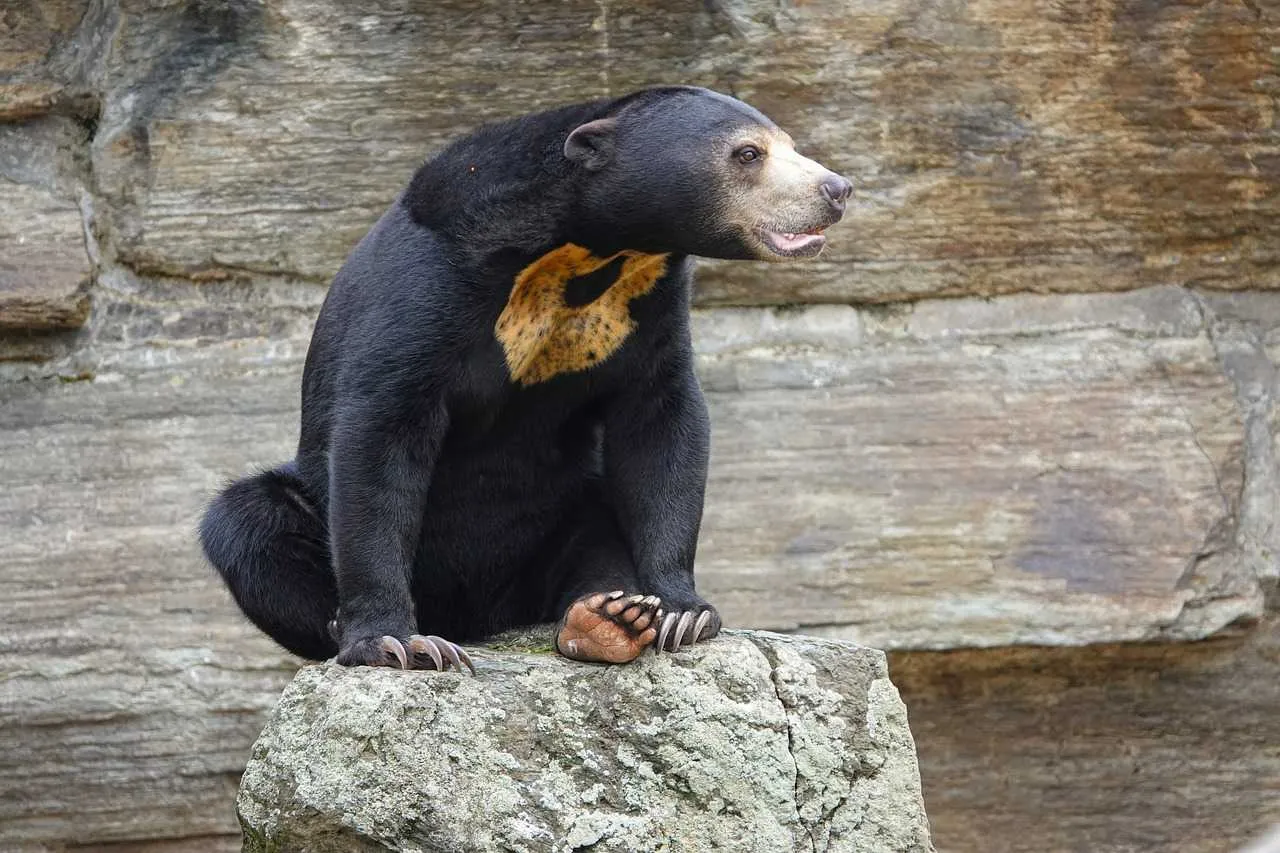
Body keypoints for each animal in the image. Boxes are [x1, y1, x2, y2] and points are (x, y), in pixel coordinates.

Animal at [199, 87, 849, 671]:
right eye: (748, 154)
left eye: (790, 145)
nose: (837, 190)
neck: (592, 252)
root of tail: (484, 617)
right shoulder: (428, 284)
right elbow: (381, 430)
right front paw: (394, 643)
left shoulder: (649, 303)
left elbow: (662, 421)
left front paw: (681, 612)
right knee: (248, 522)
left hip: (560, 509)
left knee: (593, 530)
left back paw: (607, 619)